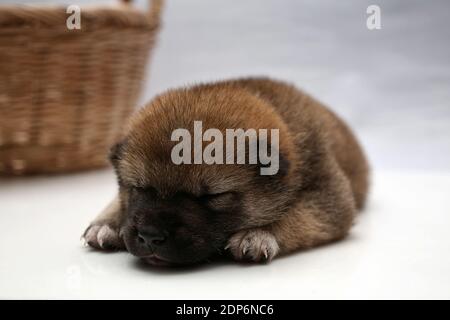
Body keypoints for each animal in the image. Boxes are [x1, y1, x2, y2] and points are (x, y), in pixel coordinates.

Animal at [81, 78, 370, 268]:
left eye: (213, 197)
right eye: (139, 188)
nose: (151, 236)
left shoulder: (329, 195)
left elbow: (298, 215)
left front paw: (258, 233)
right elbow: (117, 203)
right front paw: (108, 223)